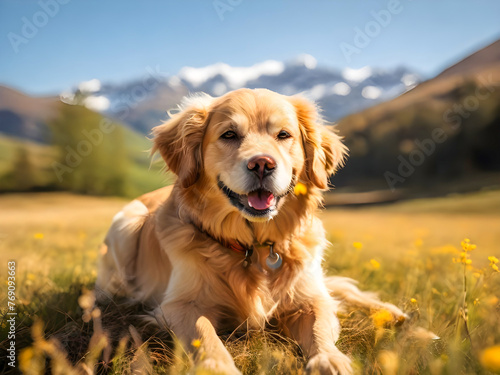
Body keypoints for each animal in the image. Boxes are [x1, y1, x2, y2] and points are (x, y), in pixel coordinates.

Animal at [95, 89, 404, 374]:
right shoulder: (179, 305)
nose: (262, 164)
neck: (253, 246)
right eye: (229, 134)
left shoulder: (309, 298)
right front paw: (218, 367)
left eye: (284, 135)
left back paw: (391, 313)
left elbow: (319, 326)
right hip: (126, 223)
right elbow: (205, 335)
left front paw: (329, 359)